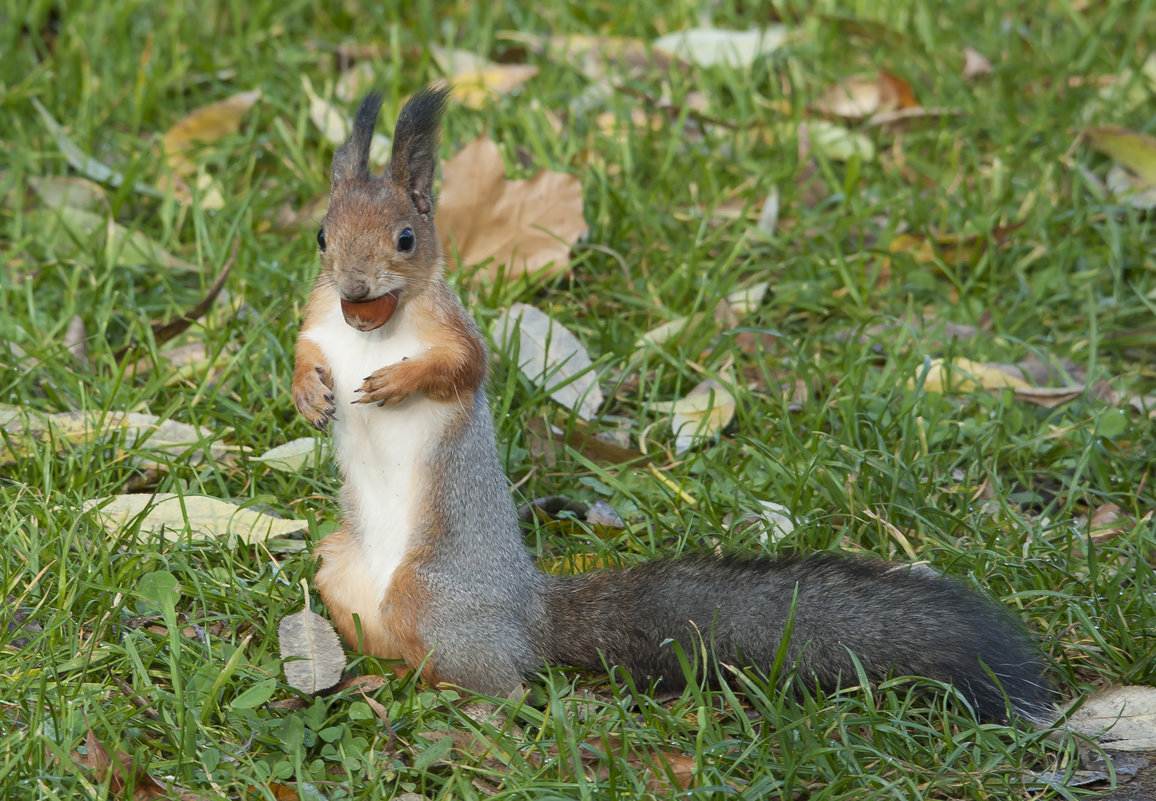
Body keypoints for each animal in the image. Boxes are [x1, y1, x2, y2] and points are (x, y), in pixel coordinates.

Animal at [293, 89, 1054, 725]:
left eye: (406, 238)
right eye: (323, 236)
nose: (354, 286)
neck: (374, 328)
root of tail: (526, 607)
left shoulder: (455, 330)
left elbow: (463, 366)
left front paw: (396, 383)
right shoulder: (318, 322)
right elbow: (302, 351)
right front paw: (308, 394)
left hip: (432, 593)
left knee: (506, 680)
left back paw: (468, 706)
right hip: (337, 570)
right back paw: (374, 680)